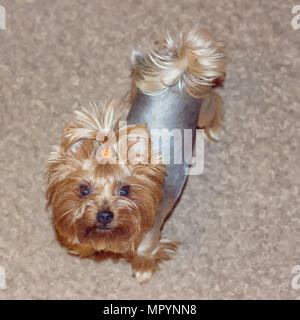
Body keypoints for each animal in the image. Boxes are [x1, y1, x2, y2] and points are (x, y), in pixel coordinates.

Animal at [45, 27, 226, 282]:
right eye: (83, 190)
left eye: (125, 190)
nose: (104, 215)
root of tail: (178, 66)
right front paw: (82, 246)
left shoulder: (149, 239)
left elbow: (145, 254)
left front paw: (143, 270)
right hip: (143, 83)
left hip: (202, 106)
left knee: (214, 101)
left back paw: (214, 129)